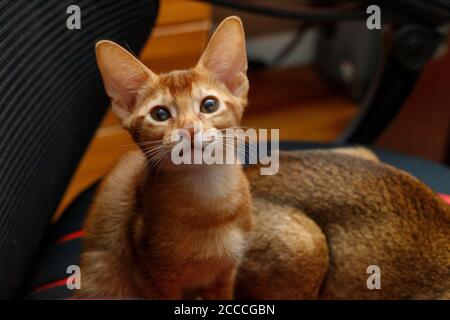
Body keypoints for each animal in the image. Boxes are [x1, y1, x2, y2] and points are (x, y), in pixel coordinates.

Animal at [77, 16, 253, 298]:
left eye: (210, 105)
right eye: (160, 114)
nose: (189, 129)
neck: (208, 206)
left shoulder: (225, 275)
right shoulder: (153, 280)